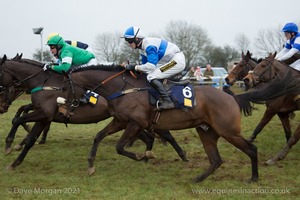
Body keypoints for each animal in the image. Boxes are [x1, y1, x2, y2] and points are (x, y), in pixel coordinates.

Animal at [0, 55, 188, 161]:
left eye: (1, 79)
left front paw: (11, 144)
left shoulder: (44, 113)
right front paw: (20, 143)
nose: (2, 107)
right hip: (127, 120)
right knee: (151, 136)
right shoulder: (45, 114)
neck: (45, 83)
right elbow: (22, 115)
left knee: (164, 134)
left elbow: (18, 118)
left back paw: (179, 154)